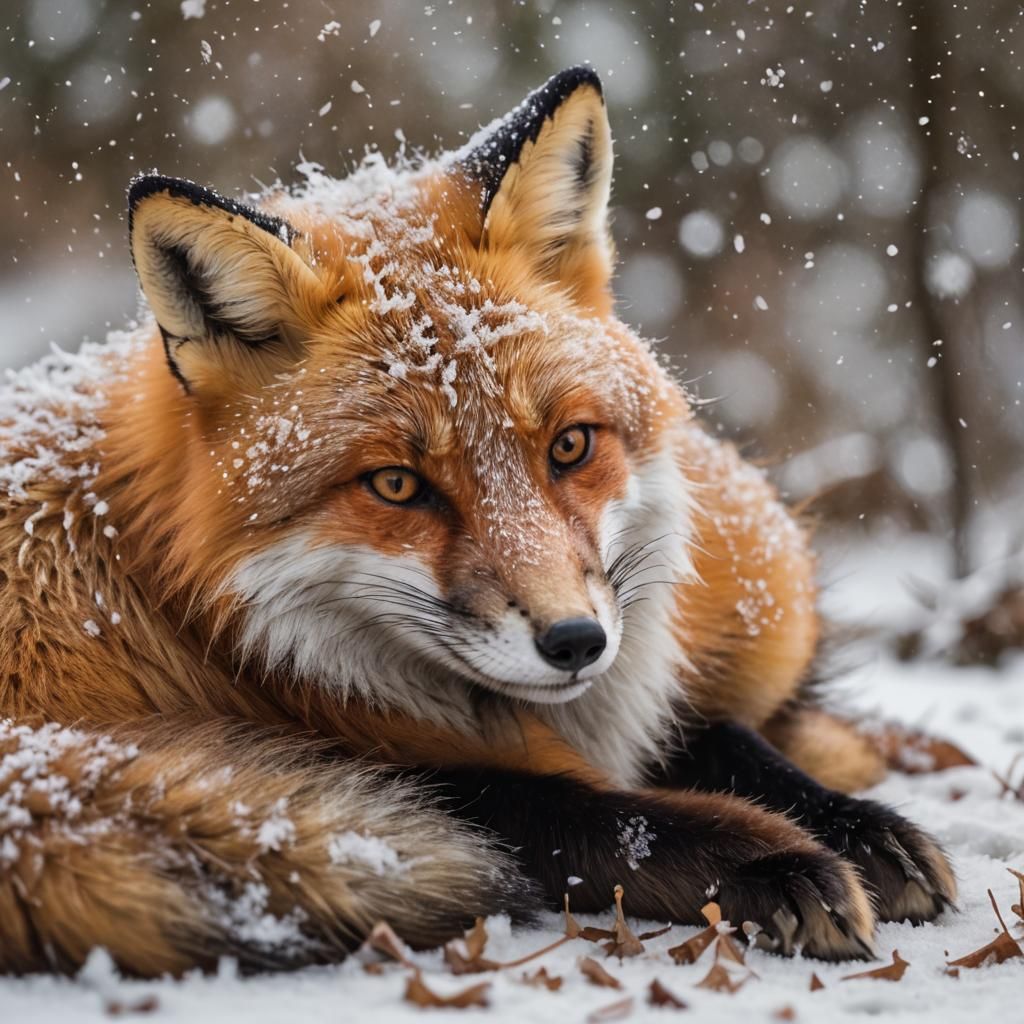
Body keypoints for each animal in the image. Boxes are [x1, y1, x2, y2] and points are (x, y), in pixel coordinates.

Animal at [0, 66, 956, 977]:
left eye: (570, 445)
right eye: (396, 485)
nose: (576, 642)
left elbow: (725, 740)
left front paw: (860, 826)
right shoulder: (383, 763)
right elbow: (601, 817)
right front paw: (779, 863)